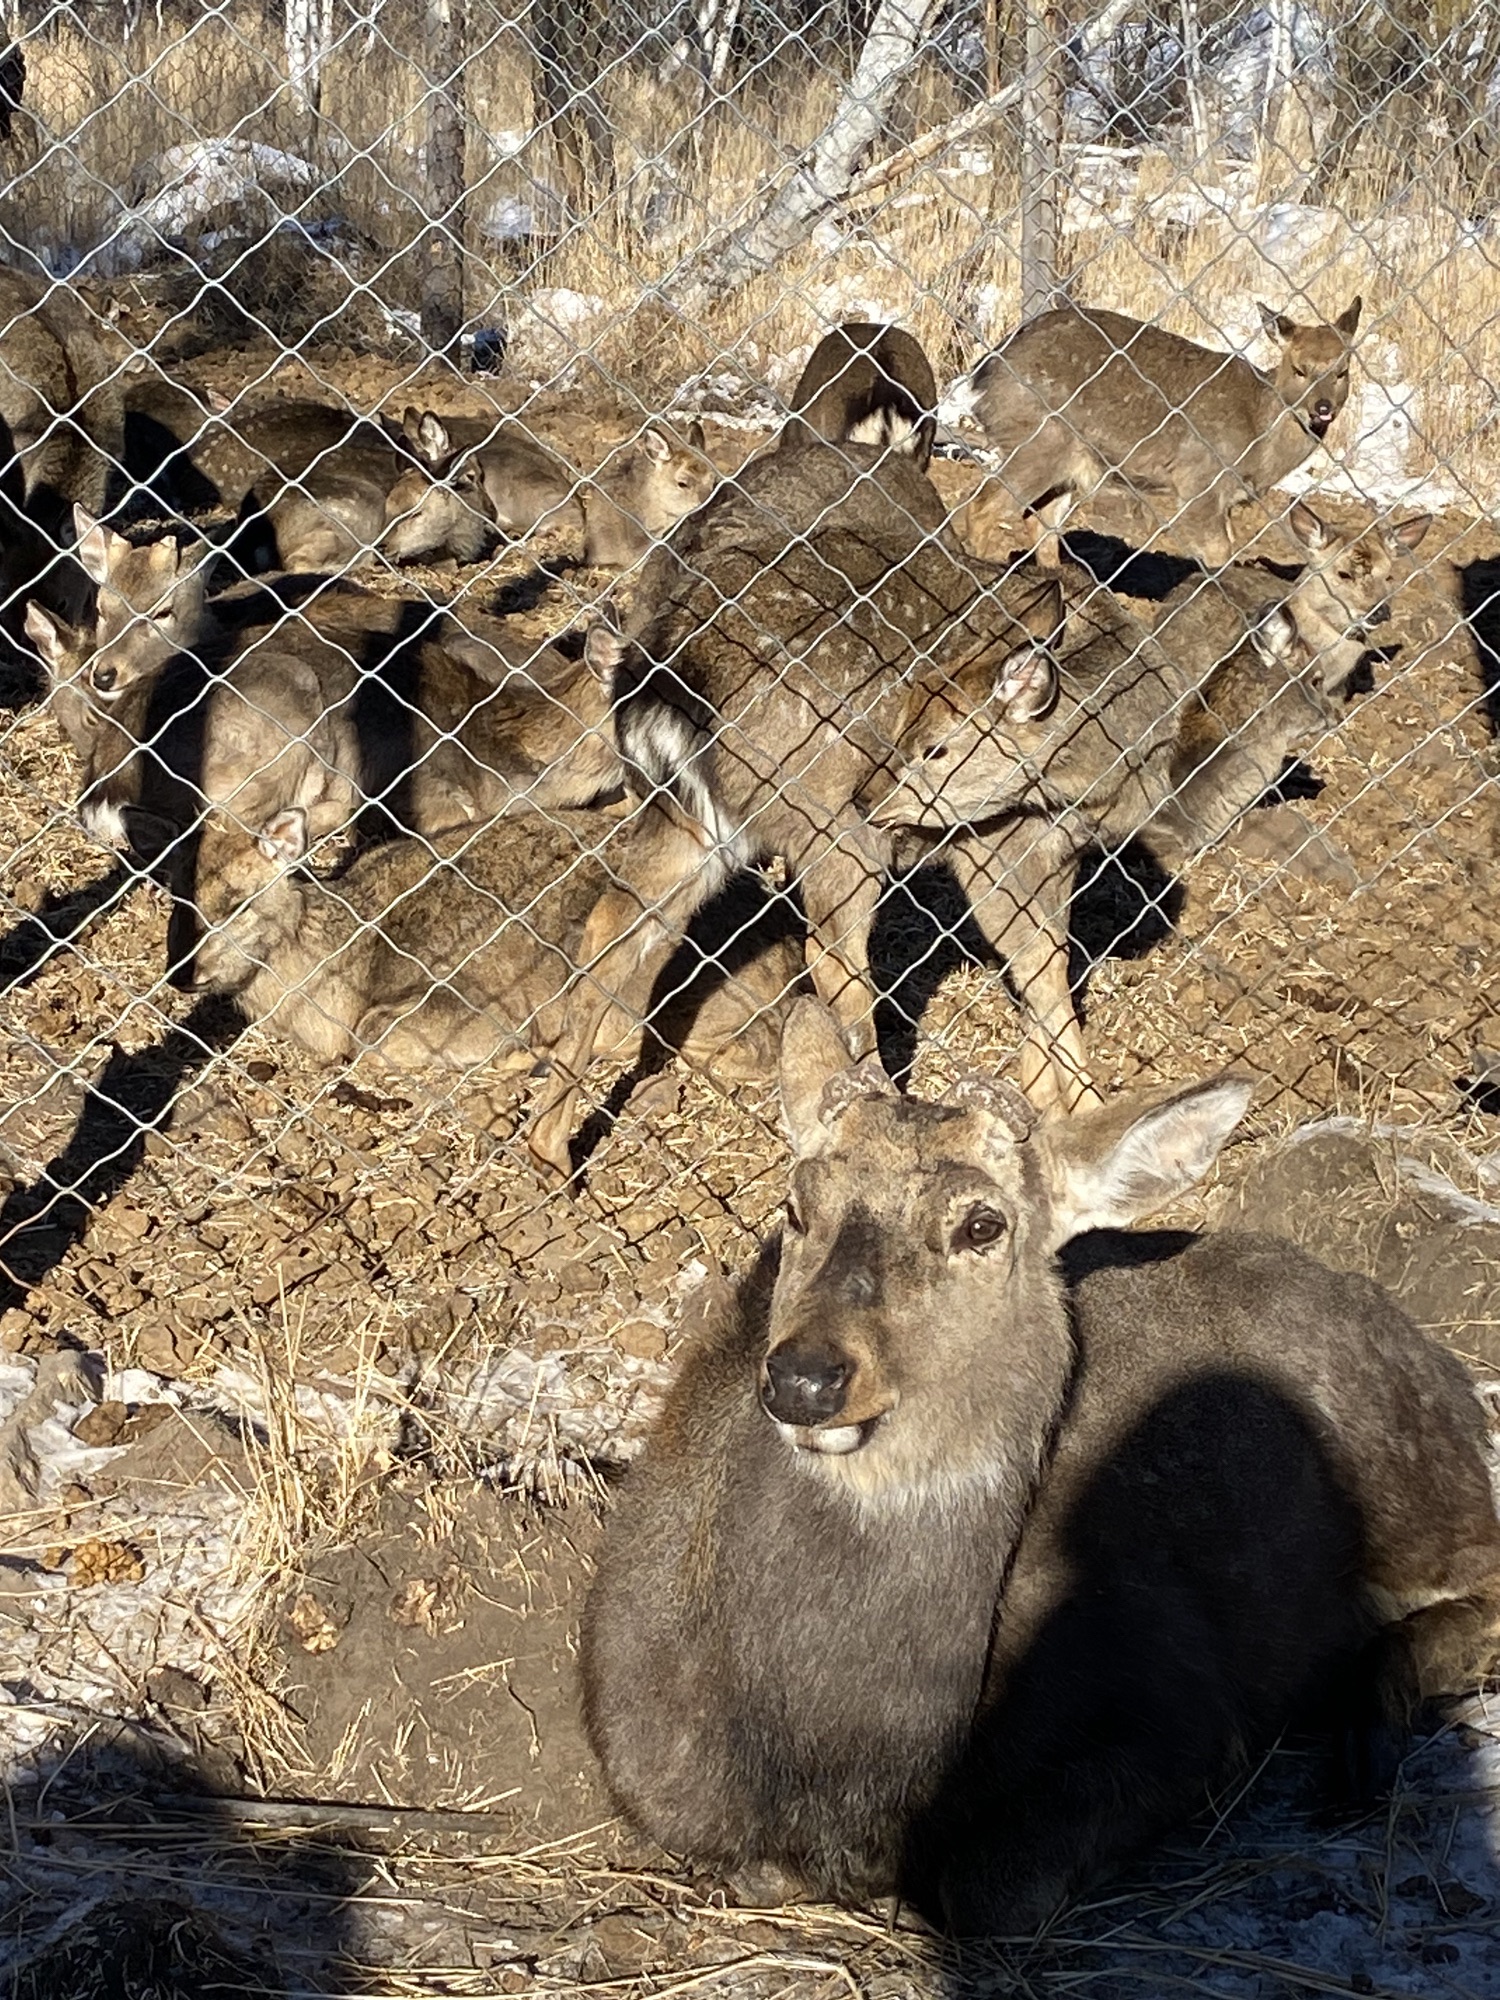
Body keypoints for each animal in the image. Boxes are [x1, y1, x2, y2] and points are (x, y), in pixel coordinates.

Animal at [583, 997, 1500, 1935]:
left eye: (982, 1224)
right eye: (796, 1207)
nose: (805, 1377)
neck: (842, 1768)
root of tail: (1437, 1365)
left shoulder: (1176, 1713)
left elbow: (992, 1890)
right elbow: (755, 1873)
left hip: (1408, 1479)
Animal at [962, 297, 1364, 568]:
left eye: (1342, 370)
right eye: (1299, 369)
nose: (1322, 407)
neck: (1258, 439)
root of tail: (984, 375)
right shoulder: (1197, 479)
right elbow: (1219, 553)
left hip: (1066, 464)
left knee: (1039, 525)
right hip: (1037, 440)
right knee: (983, 508)